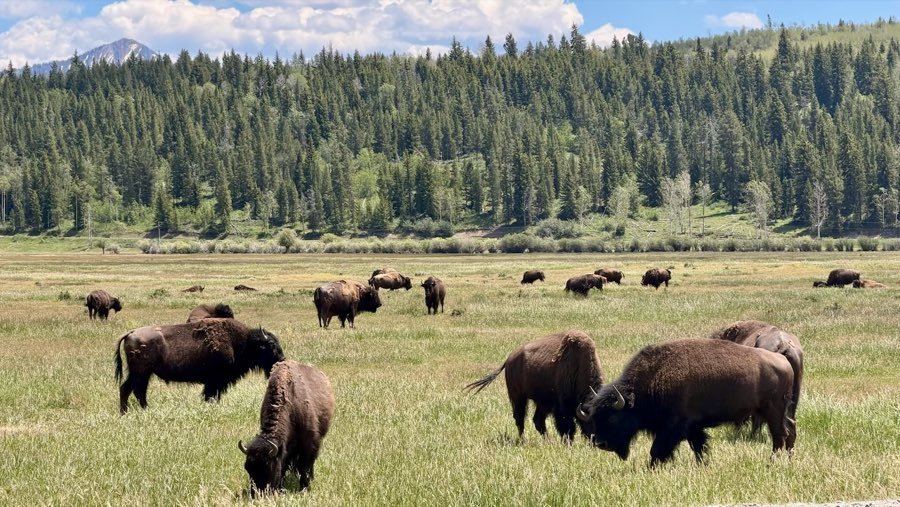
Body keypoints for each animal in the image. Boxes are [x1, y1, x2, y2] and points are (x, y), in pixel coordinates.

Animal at [114, 318, 284, 414]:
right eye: (271, 345)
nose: (282, 359)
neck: (243, 342)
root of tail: (131, 333)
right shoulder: (215, 381)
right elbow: (211, 395)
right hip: (140, 373)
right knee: (127, 389)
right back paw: (125, 412)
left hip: (144, 374)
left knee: (138, 391)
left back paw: (143, 410)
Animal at [239, 360, 334, 495]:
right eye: (247, 468)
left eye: (268, 466)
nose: (256, 494)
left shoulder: (309, 443)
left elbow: (305, 466)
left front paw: (304, 488)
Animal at [465, 330, 603, 441]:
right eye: (592, 422)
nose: (598, 441)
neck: (578, 364)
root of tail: (509, 359)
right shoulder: (561, 406)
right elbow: (566, 426)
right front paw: (568, 443)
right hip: (518, 397)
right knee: (520, 419)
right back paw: (522, 440)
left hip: (541, 402)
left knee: (537, 421)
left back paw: (548, 441)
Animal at [577, 338, 795, 466]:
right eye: (594, 419)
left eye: (613, 418)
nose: (601, 444)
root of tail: (783, 360)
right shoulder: (693, 427)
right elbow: (698, 446)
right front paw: (702, 464)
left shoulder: (674, 427)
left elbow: (657, 449)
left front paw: (652, 467)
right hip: (781, 411)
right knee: (789, 430)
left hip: (773, 411)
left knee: (778, 436)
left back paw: (772, 462)